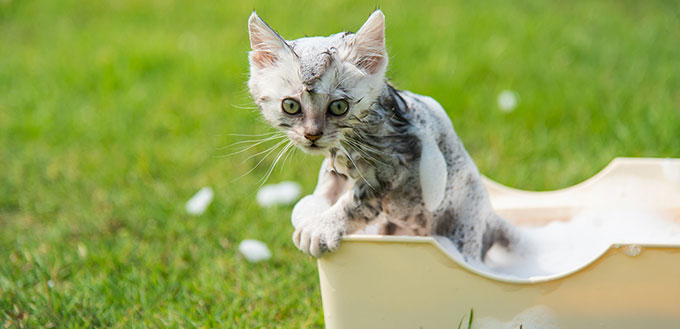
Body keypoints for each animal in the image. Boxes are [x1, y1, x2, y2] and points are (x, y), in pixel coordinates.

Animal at [247, 10, 512, 262]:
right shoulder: (338, 160)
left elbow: (355, 204)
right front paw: (314, 208)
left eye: (338, 107)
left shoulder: (394, 166)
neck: (357, 137)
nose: (312, 134)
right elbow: (328, 182)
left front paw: (321, 228)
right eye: (290, 106)